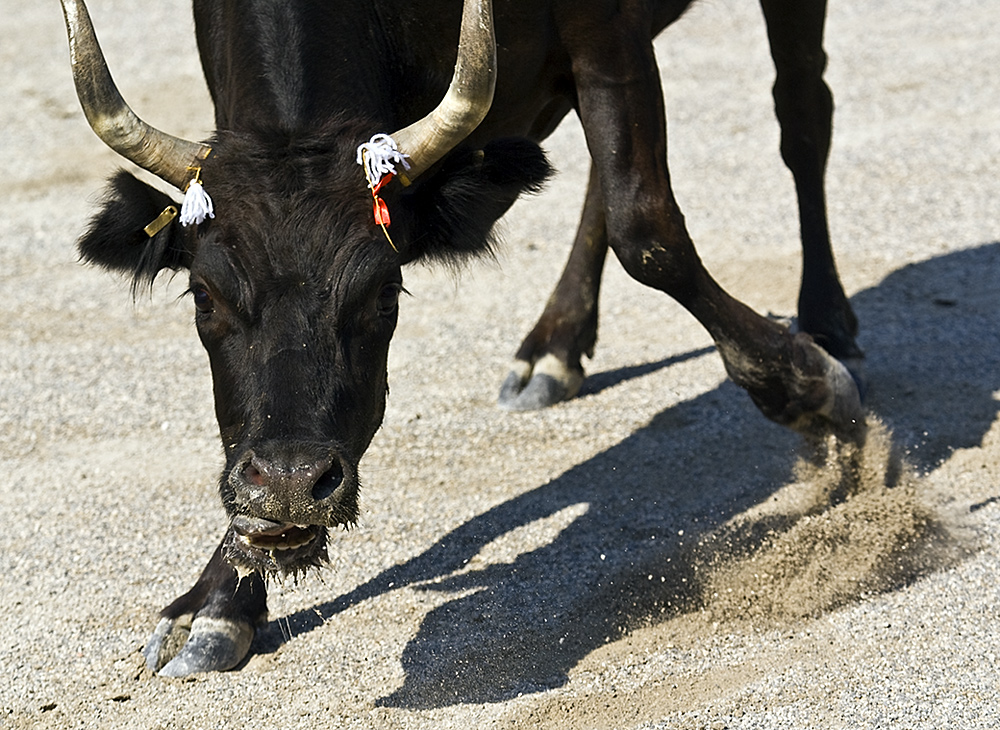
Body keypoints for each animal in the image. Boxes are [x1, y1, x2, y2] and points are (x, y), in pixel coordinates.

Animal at [58, 0, 864, 676]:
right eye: (204, 295)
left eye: (384, 292)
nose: (287, 484)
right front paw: (219, 598)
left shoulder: (609, 30)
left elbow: (648, 228)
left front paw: (805, 386)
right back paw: (556, 344)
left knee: (802, 110)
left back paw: (827, 317)